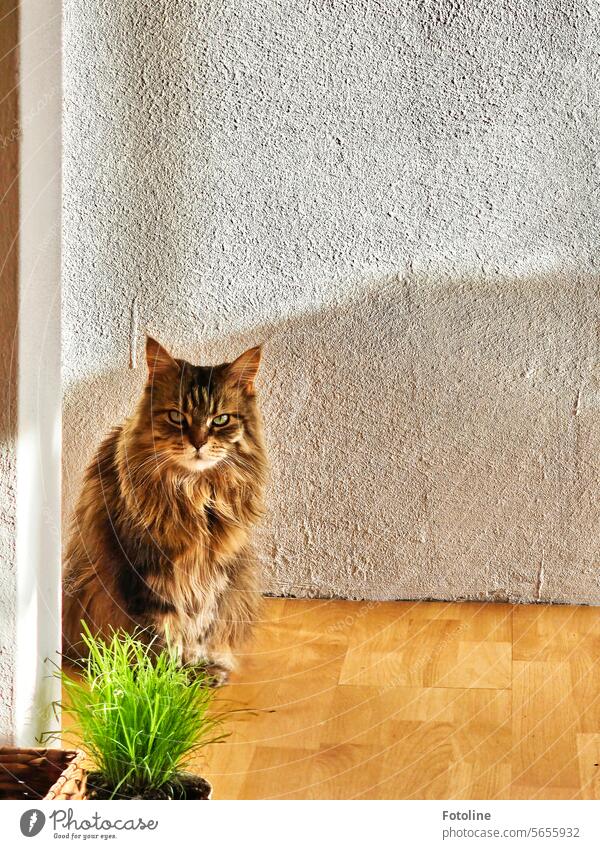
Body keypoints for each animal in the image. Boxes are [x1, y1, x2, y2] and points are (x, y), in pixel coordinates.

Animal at [62, 332, 266, 684]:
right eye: (175, 416)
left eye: (220, 419)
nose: (198, 442)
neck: (196, 493)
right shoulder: (147, 570)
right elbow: (161, 633)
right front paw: (166, 680)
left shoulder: (212, 572)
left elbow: (199, 626)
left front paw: (197, 669)